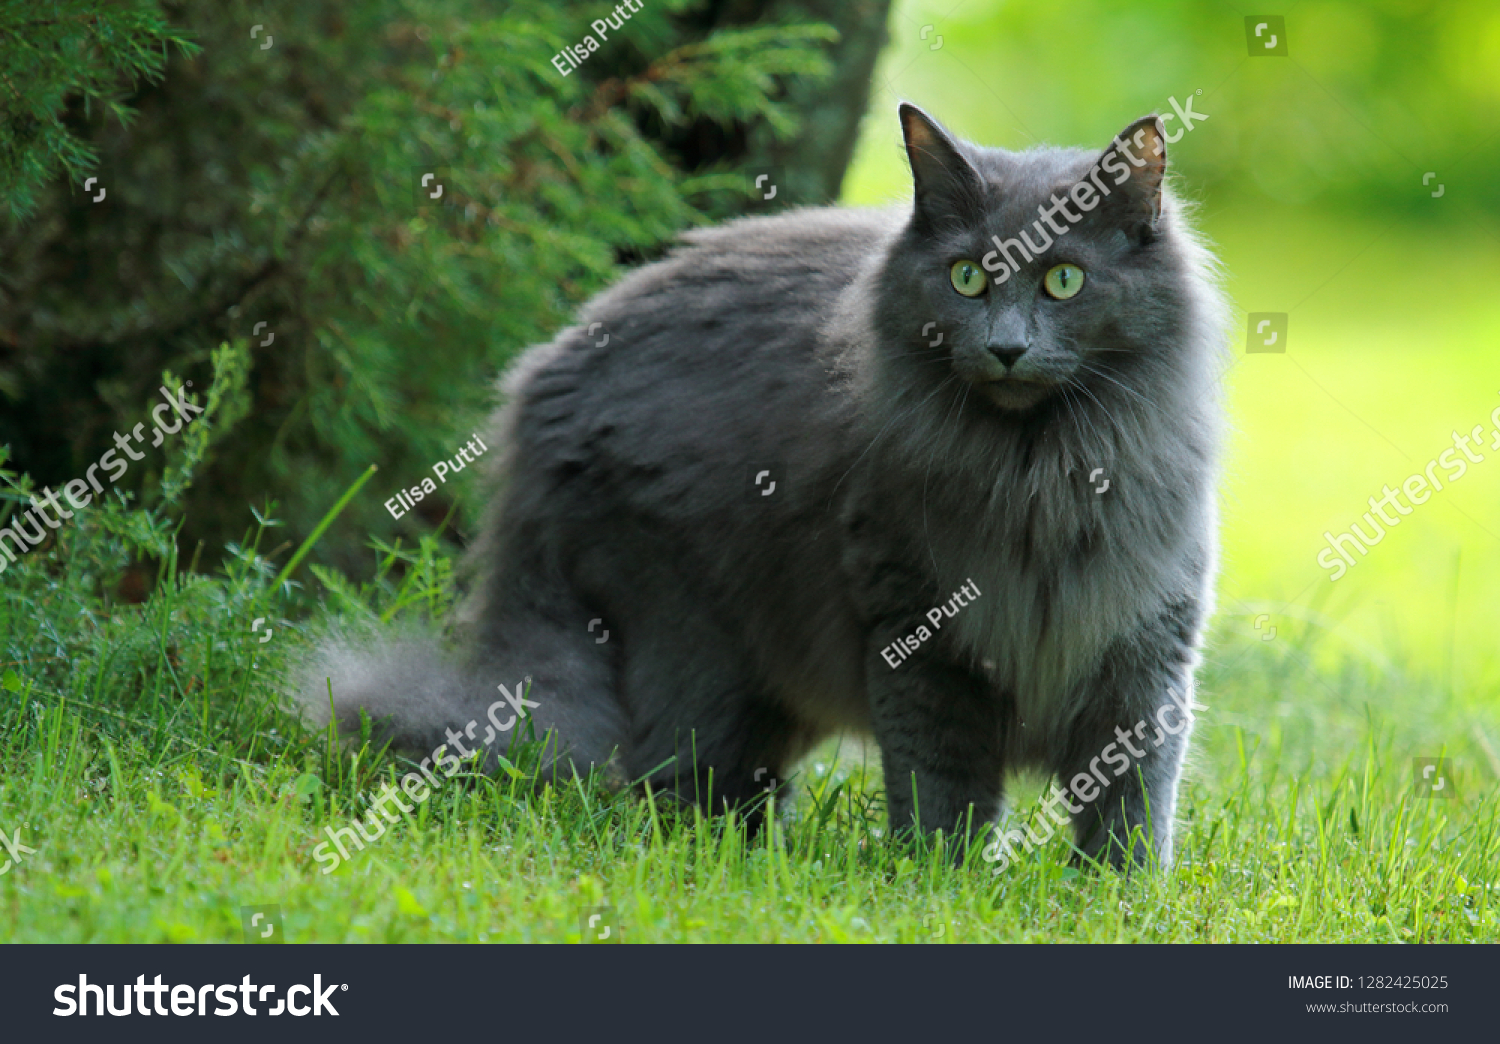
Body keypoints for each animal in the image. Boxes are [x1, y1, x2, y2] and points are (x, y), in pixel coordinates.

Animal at [295, 105, 1230, 870]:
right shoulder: (916, 639)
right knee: (673, 781)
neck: (1038, 472)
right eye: (968, 277)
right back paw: (738, 854)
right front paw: (943, 880)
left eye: (1063, 280)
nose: (1005, 347)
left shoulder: (1147, 646)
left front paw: (1119, 895)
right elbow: (943, 789)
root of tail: (537, 392)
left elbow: (1132, 796)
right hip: (691, 643)